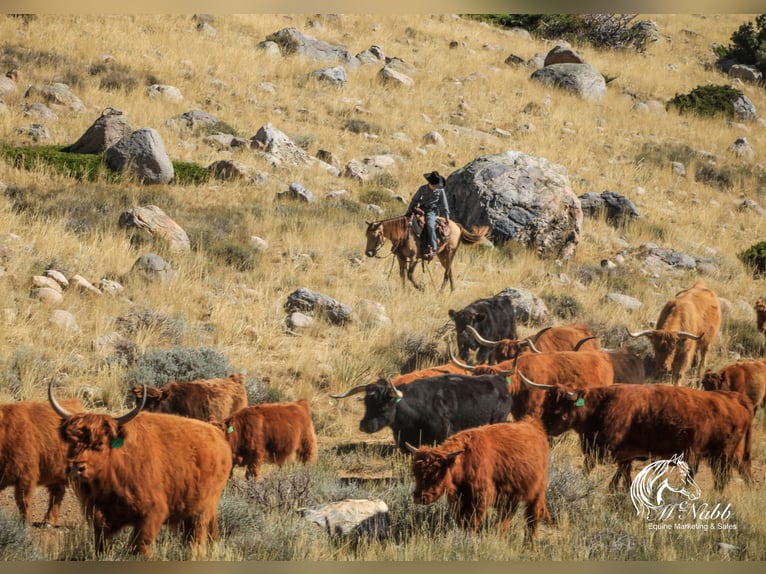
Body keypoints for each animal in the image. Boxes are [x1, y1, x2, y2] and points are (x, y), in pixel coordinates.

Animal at [49, 382, 232, 560]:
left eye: (100, 443)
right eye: (72, 442)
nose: (76, 467)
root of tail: (218, 434)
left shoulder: (152, 513)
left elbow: (138, 546)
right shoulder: (99, 517)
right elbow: (102, 546)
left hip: (202, 510)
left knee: (197, 540)